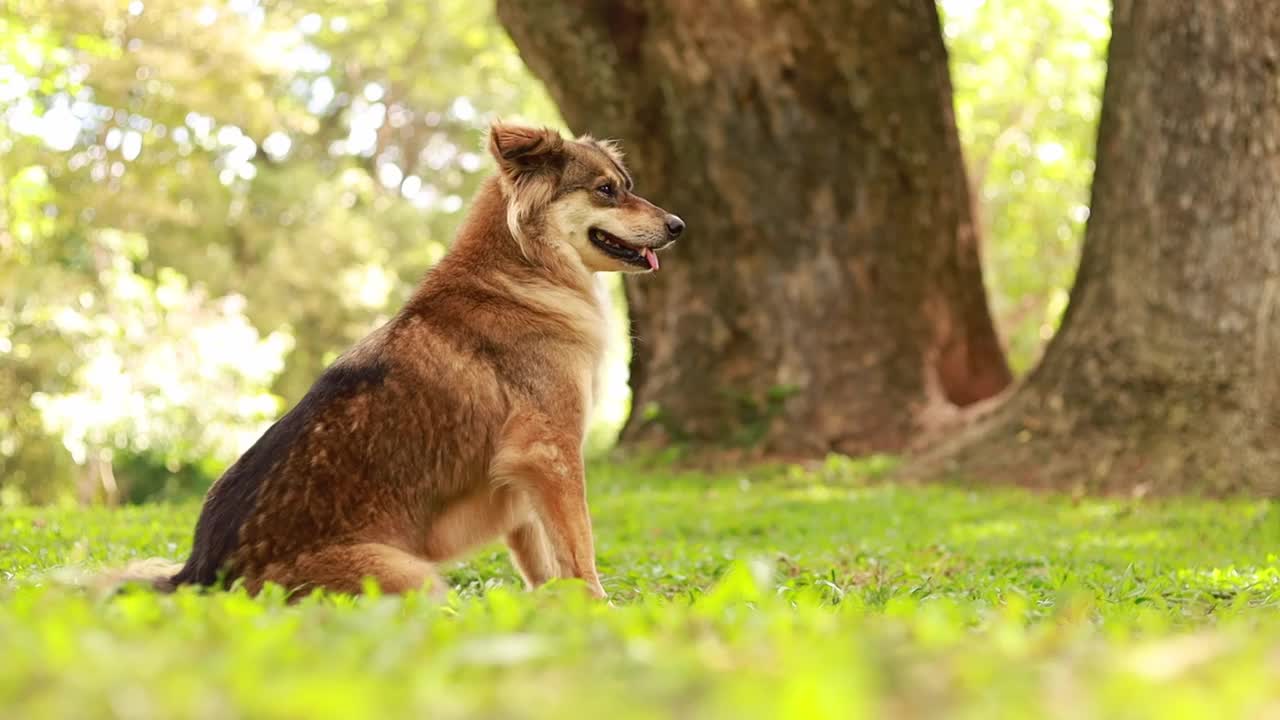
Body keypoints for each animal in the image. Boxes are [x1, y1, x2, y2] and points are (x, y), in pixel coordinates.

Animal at [124, 124, 686, 599]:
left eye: (626, 185)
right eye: (606, 190)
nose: (679, 225)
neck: (524, 270)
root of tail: (201, 577)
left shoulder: (521, 476)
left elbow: (542, 559)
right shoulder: (548, 450)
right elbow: (579, 549)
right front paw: (598, 608)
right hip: (414, 578)